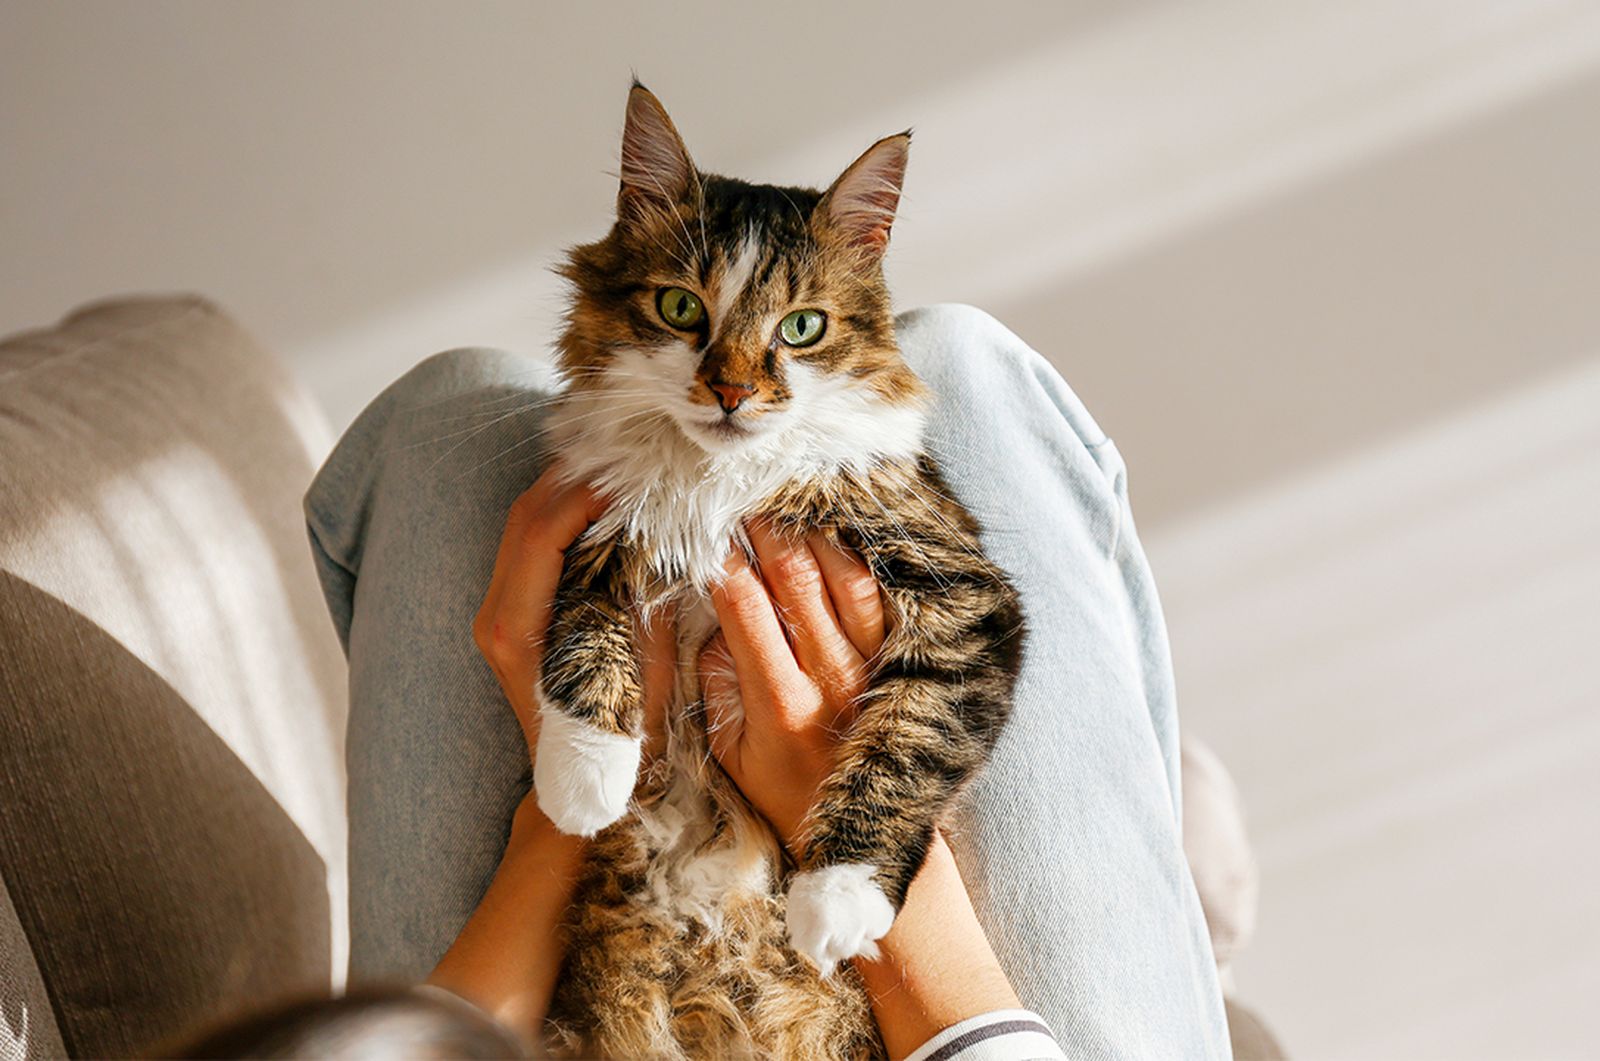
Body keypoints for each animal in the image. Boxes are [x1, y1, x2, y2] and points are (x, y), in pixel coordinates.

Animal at [528, 85, 1024, 1061]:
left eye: (801, 328)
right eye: (680, 307)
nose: (731, 392)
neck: (722, 483)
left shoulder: (962, 591)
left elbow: (909, 740)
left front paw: (837, 898)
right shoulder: (604, 514)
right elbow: (584, 615)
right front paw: (582, 772)